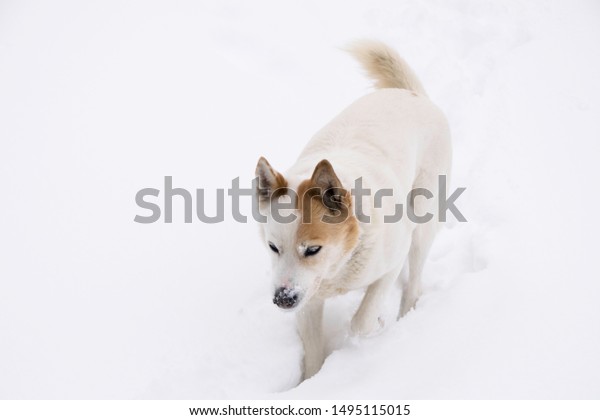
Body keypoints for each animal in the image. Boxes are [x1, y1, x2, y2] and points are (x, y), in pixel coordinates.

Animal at [255, 41, 452, 380]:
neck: (339, 265)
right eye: (272, 247)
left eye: (313, 249)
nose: (282, 299)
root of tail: (411, 93)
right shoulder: (308, 298)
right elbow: (313, 351)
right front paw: (312, 380)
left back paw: (406, 312)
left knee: (413, 280)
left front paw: (373, 327)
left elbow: (361, 320)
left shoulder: (391, 260)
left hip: (422, 221)